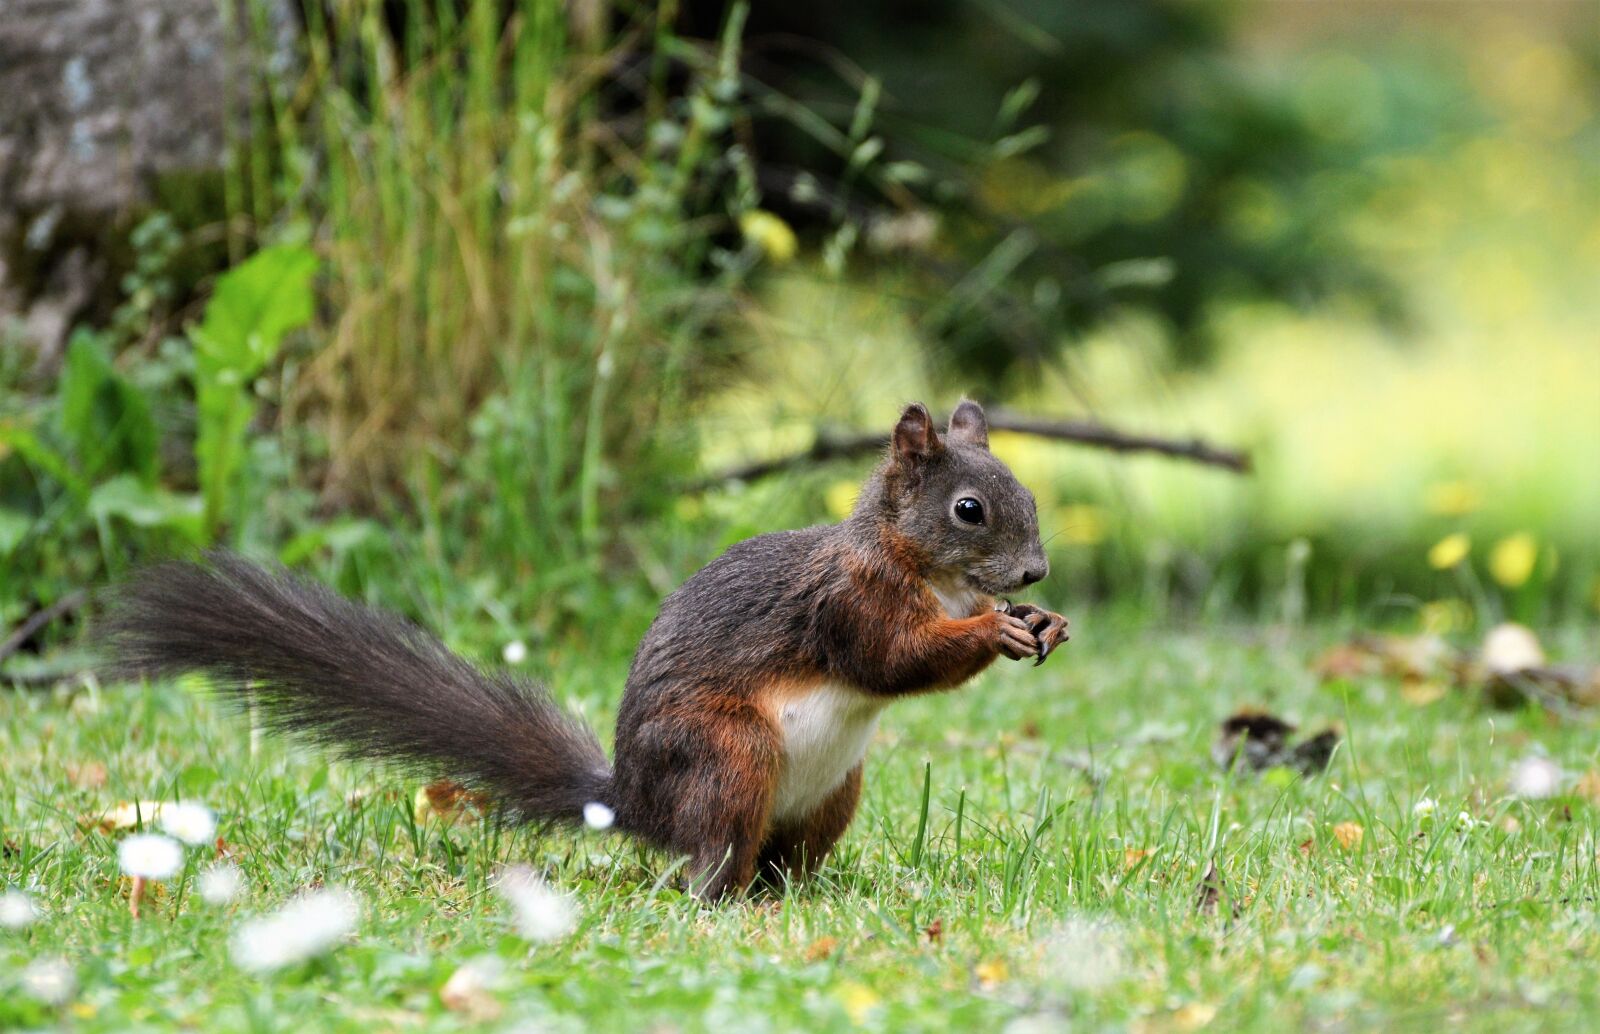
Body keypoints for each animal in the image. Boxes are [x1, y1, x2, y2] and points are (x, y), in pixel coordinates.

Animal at [105, 400, 1069, 900]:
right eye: (969, 510)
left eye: (1026, 494)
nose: (1034, 570)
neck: (927, 573)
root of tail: (636, 804)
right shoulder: (847, 603)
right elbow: (890, 661)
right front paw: (991, 630)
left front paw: (1044, 622)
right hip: (726, 753)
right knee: (710, 857)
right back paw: (724, 897)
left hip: (834, 792)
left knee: (779, 860)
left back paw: (800, 894)